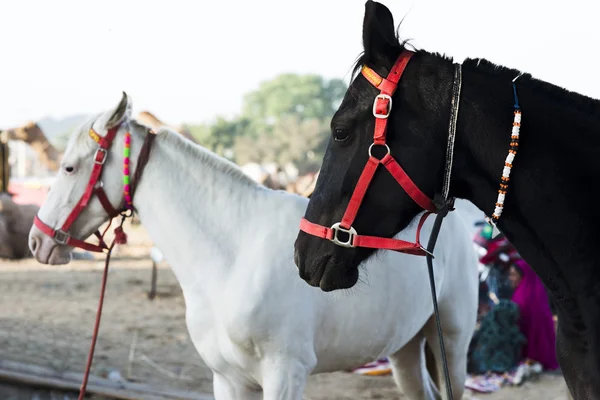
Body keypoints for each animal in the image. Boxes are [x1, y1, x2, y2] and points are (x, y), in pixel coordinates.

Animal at [29, 94, 478, 400]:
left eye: (70, 167)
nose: (38, 240)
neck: (233, 260)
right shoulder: (228, 379)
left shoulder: (285, 374)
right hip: (405, 348)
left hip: (452, 341)